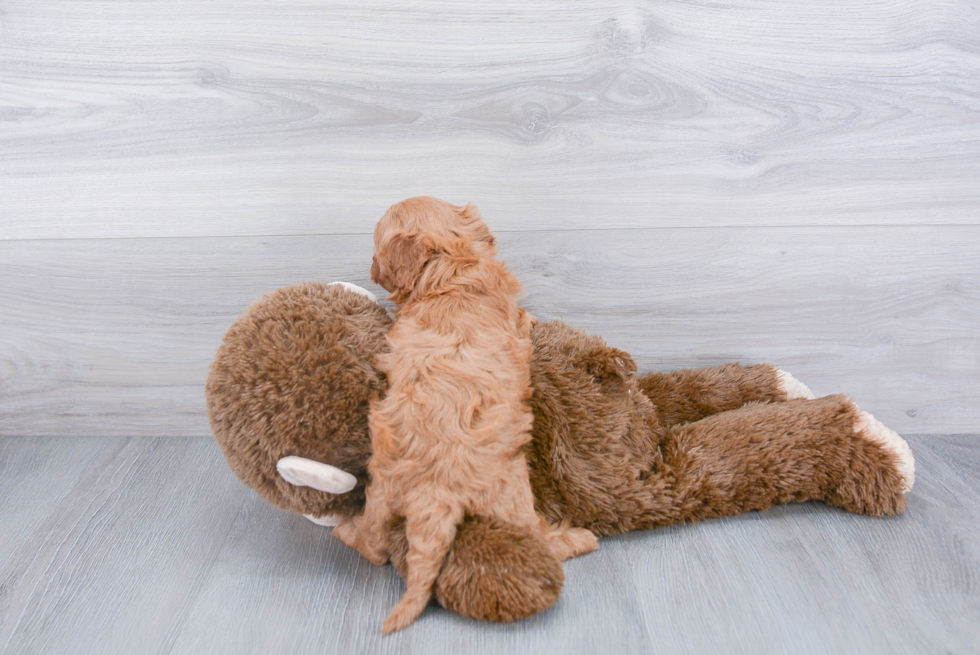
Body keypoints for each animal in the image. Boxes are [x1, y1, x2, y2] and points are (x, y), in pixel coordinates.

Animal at [334, 197, 596, 632]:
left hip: (382, 491)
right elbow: (526, 321)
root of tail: (435, 493)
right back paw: (578, 539)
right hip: (513, 496)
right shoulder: (513, 317)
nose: (370, 268)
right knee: (539, 537)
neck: (448, 268)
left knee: (373, 544)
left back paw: (347, 530)